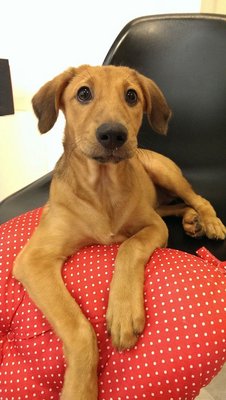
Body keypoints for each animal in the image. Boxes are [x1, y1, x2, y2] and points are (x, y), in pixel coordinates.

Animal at [13, 66, 225, 400]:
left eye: (131, 95)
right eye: (83, 93)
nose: (113, 134)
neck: (103, 189)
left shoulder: (152, 227)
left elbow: (129, 247)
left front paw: (123, 313)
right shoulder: (33, 259)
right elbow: (78, 326)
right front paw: (80, 387)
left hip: (165, 172)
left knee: (195, 197)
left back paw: (208, 220)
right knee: (173, 206)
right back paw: (192, 220)